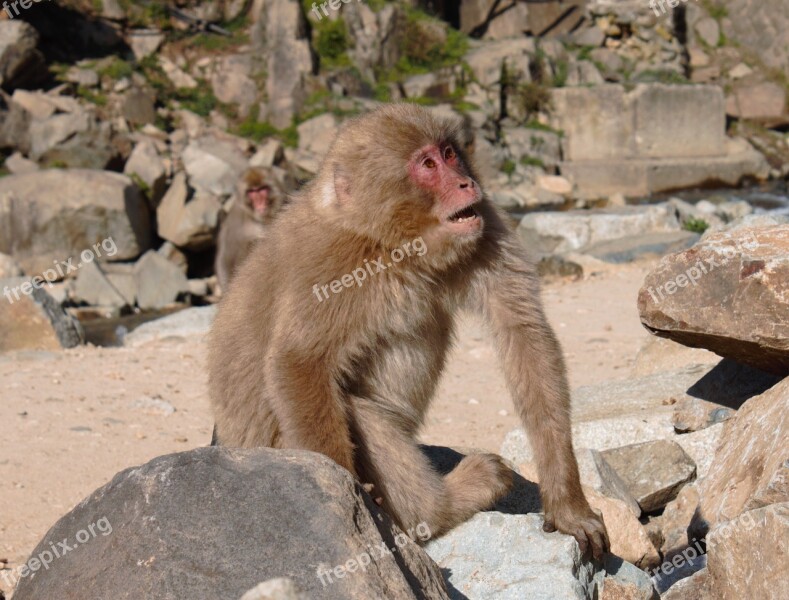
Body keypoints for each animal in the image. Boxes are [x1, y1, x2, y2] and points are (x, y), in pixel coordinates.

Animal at [206, 103, 608, 556]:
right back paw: (444, 504)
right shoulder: (329, 267)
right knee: (357, 410)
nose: (467, 183)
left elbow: (521, 328)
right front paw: (350, 500)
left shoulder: (481, 225)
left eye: (449, 154)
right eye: (427, 165)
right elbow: (299, 363)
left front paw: (567, 503)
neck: (392, 244)